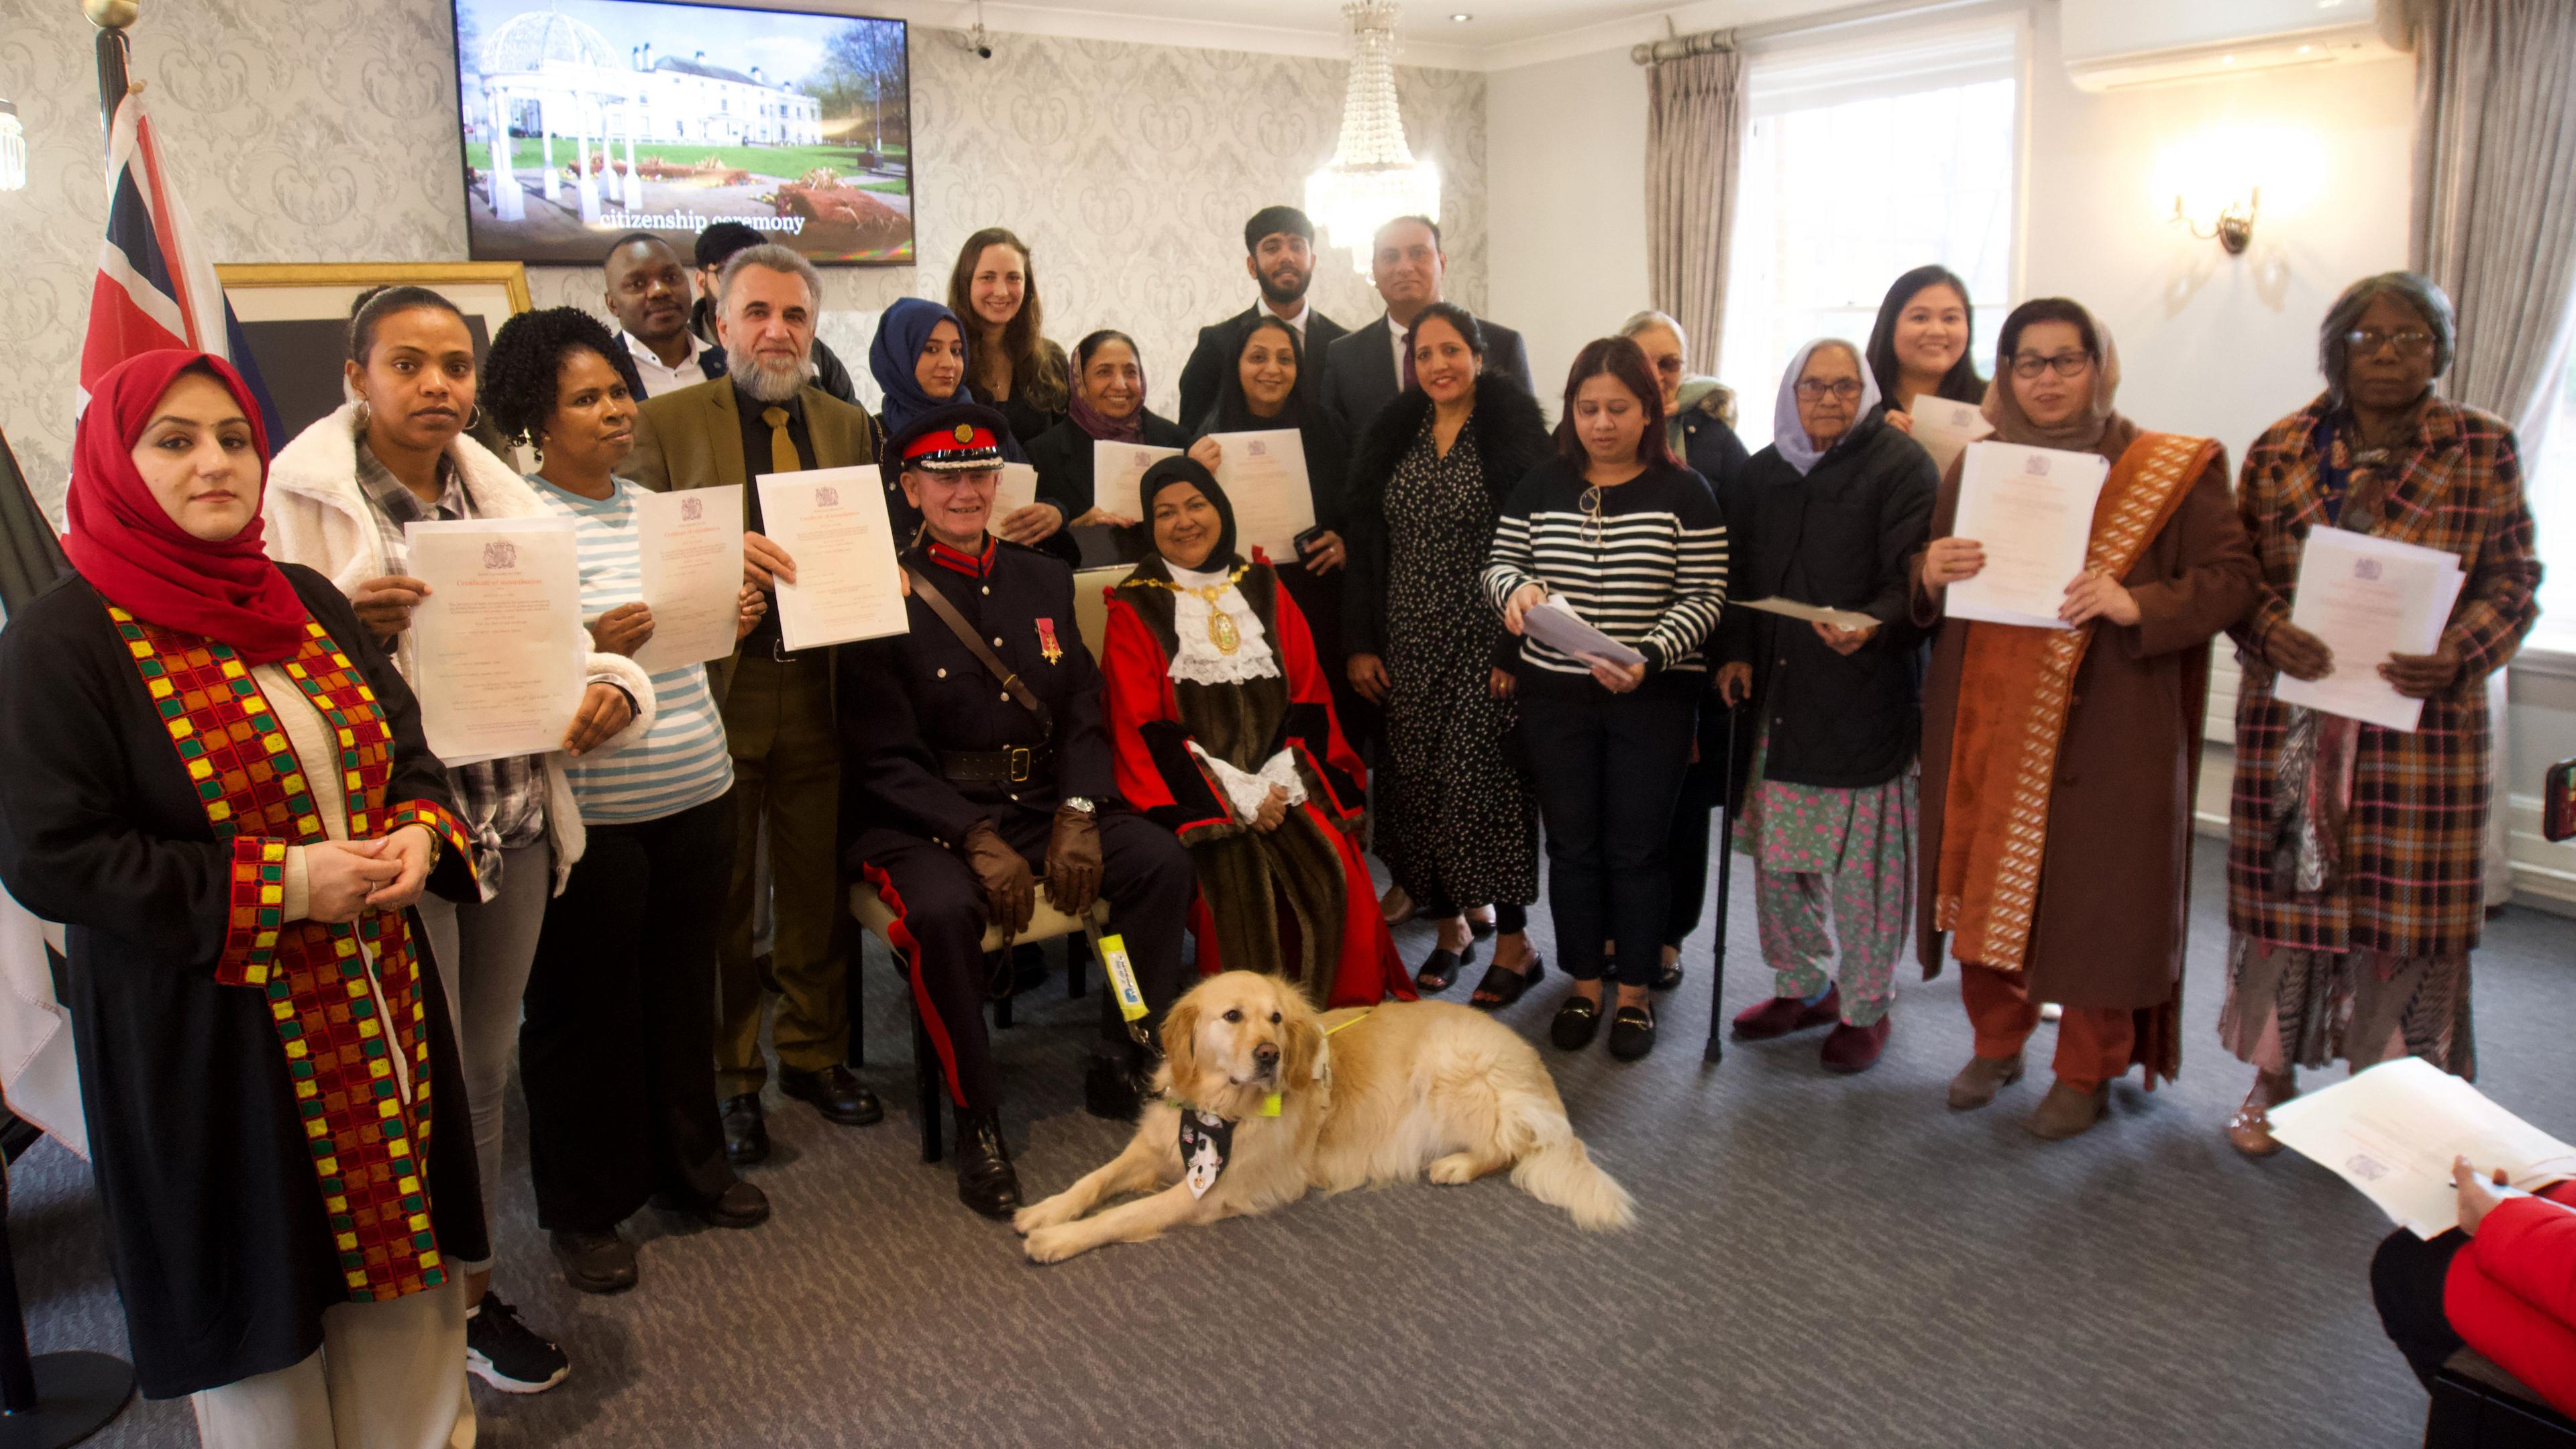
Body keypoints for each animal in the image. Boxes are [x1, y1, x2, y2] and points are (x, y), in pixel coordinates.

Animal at [1010, 964, 1627, 1258]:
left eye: (1277, 1019)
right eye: (1232, 1016)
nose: (1269, 1055)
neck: (1214, 1111)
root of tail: (1535, 1063)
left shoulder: (1207, 1191)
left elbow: (1121, 1216)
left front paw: (1057, 1240)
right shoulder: (1153, 1145)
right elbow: (1093, 1181)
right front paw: (1044, 1211)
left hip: (1449, 1067)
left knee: (1514, 1142)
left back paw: (1457, 1165)